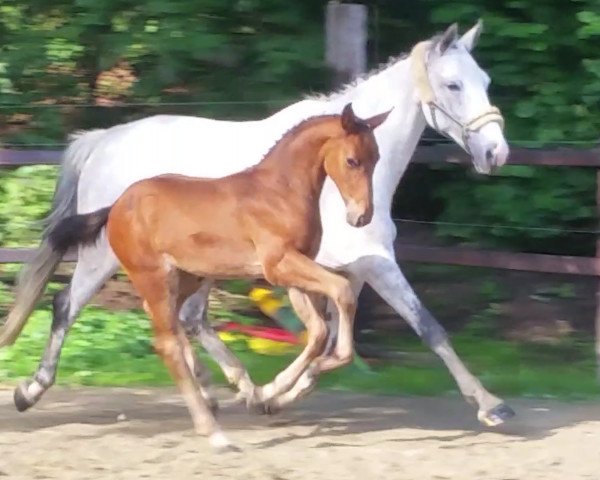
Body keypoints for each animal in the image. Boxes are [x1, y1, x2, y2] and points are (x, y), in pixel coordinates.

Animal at [49, 104, 392, 450]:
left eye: (377, 157)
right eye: (352, 160)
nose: (361, 217)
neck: (280, 191)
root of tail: (116, 206)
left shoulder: (295, 273)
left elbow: (319, 331)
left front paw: (271, 392)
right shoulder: (279, 264)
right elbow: (342, 291)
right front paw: (284, 384)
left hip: (188, 276)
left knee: (171, 321)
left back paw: (213, 393)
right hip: (154, 276)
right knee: (167, 343)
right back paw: (212, 430)